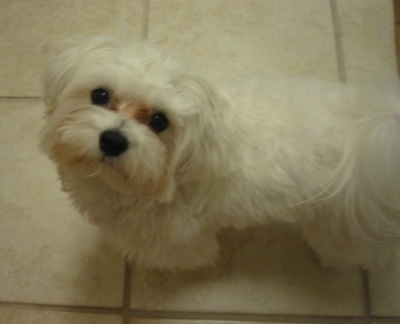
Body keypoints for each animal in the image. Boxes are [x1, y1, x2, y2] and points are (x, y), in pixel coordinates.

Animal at [39, 35, 400, 270]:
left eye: (159, 121)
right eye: (100, 95)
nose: (113, 141)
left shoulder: (179, 239)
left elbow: (189, 255)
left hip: (343, 229)